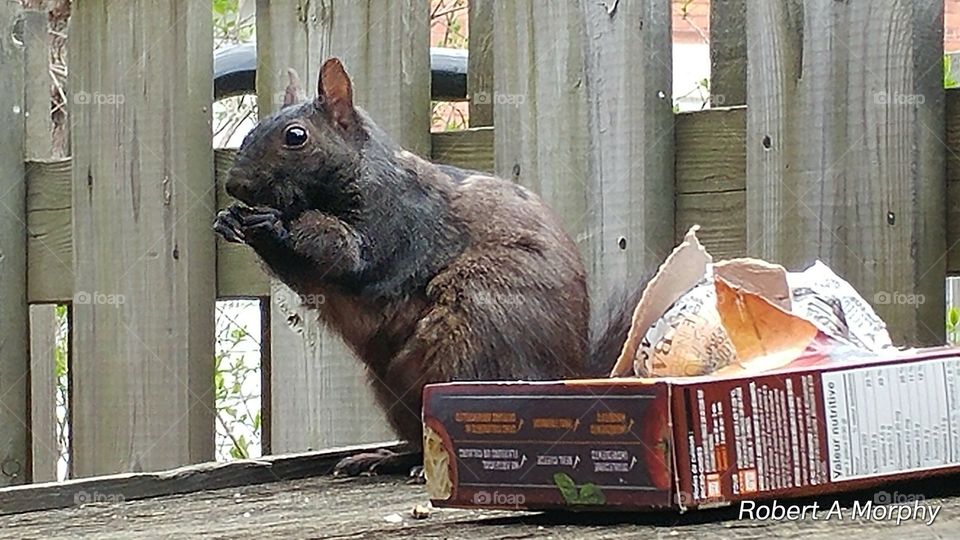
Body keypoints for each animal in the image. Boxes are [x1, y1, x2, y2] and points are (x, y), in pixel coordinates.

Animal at [214, 58, 643, 476]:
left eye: (296, 136)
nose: (234, 185)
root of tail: (569, 376)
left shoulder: (396, 225)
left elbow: (343, 255)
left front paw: (274, 225)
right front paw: (230, 219)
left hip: (469, 343)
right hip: (392, 387)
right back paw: (391, 459)